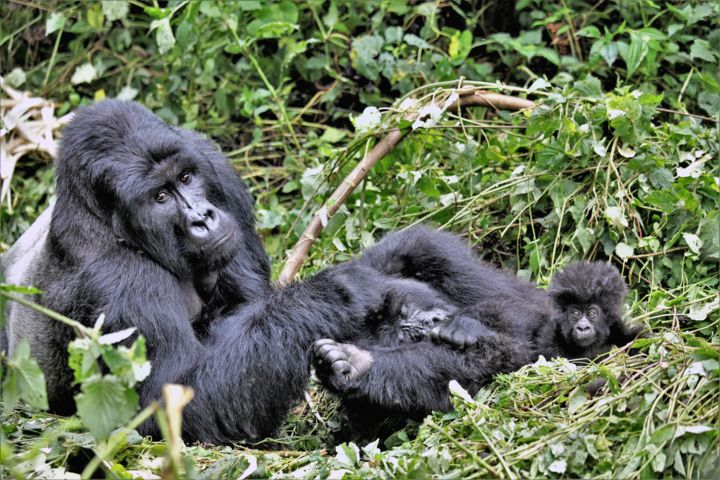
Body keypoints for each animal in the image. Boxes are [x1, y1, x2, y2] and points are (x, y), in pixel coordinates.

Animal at [0, 100, 394, 442]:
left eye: (186, 177)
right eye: (160, 197)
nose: (202, 217)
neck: (99, 215)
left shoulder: (216, 170)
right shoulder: (114, 276)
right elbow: (172, 400)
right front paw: (332, 294)